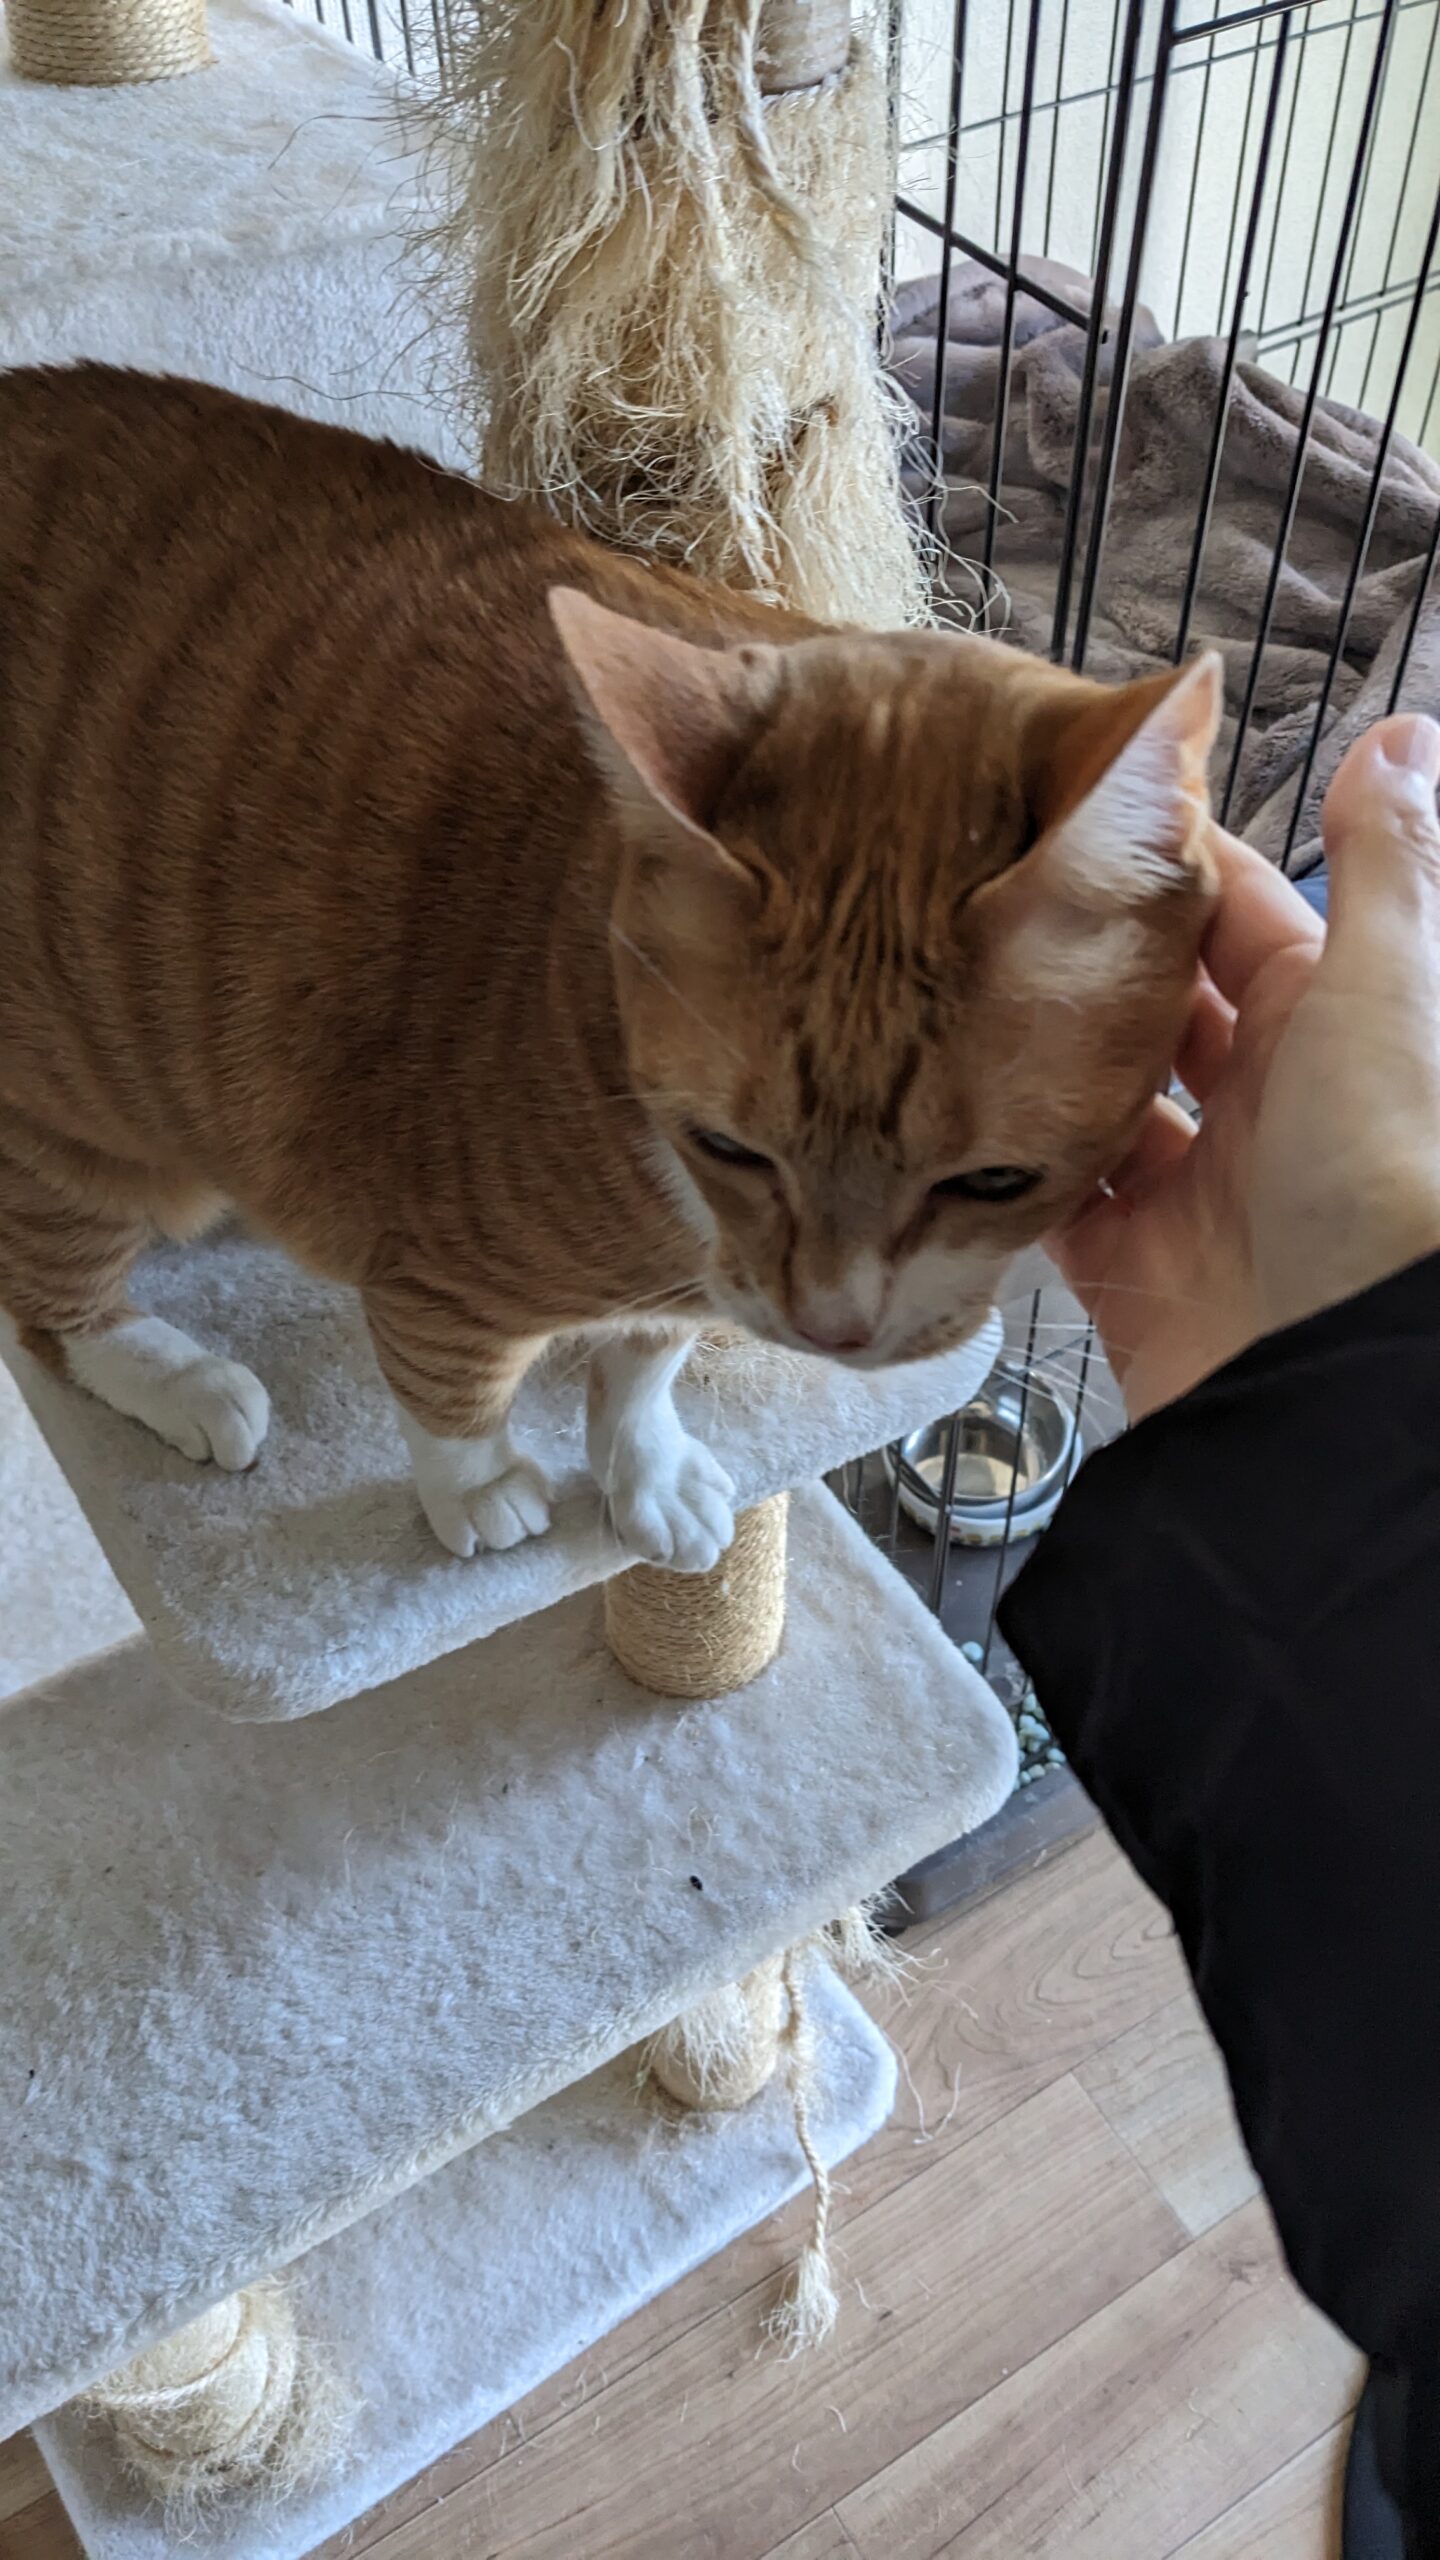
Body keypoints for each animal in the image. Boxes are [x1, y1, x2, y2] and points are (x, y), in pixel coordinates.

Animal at [0, 364, 1221, 1569]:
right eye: (729, 1147)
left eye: (995, 1182)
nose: (830, 1329)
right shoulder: (432, 1276)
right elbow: (451, 1392)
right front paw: (484, 1490)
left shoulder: (696, 1281)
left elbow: (641, 1371)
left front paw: (650, 1475)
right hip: (64, 1136)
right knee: (55, 1306)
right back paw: (189, 1383)